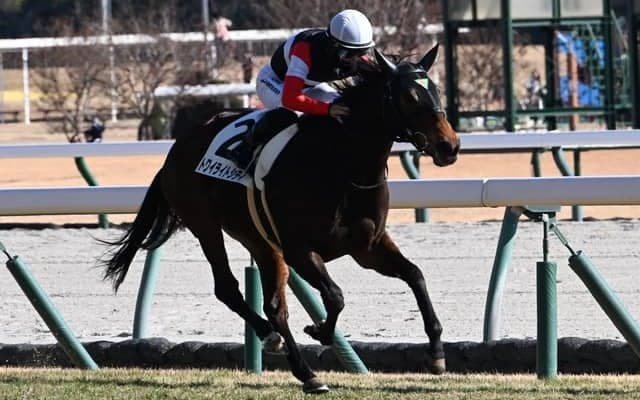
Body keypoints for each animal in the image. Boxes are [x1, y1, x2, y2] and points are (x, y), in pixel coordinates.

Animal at [101, 46, 460, 393]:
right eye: (409, 97)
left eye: (436, 91)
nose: (450, 146)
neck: (341, 164)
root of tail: (175, 151)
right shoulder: (300, 250)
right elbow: (335, 296)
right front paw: (319, 330)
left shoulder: (367, 247)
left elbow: (415, 275)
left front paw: (436, 353)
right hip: (206, 226)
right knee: (229, 289)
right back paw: (277, 343)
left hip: (259, 239)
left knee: (275, 306)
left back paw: (307, 373)